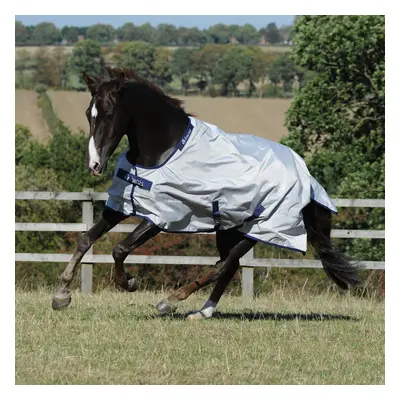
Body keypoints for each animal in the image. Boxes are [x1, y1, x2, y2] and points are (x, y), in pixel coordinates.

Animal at [50, 67, 360, 320]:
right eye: (88, 113)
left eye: (109, 113)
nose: (94, 165)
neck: (164, 151)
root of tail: (307, 178)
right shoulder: (121, 206)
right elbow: (86, 239)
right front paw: (61, 295)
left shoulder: (161, 217)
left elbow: (119, 249)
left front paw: (129, 283)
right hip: (228, 228)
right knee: (228, 266)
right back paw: (201, 312)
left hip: (258, 230)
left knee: (224, 266)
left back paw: (171, 301)